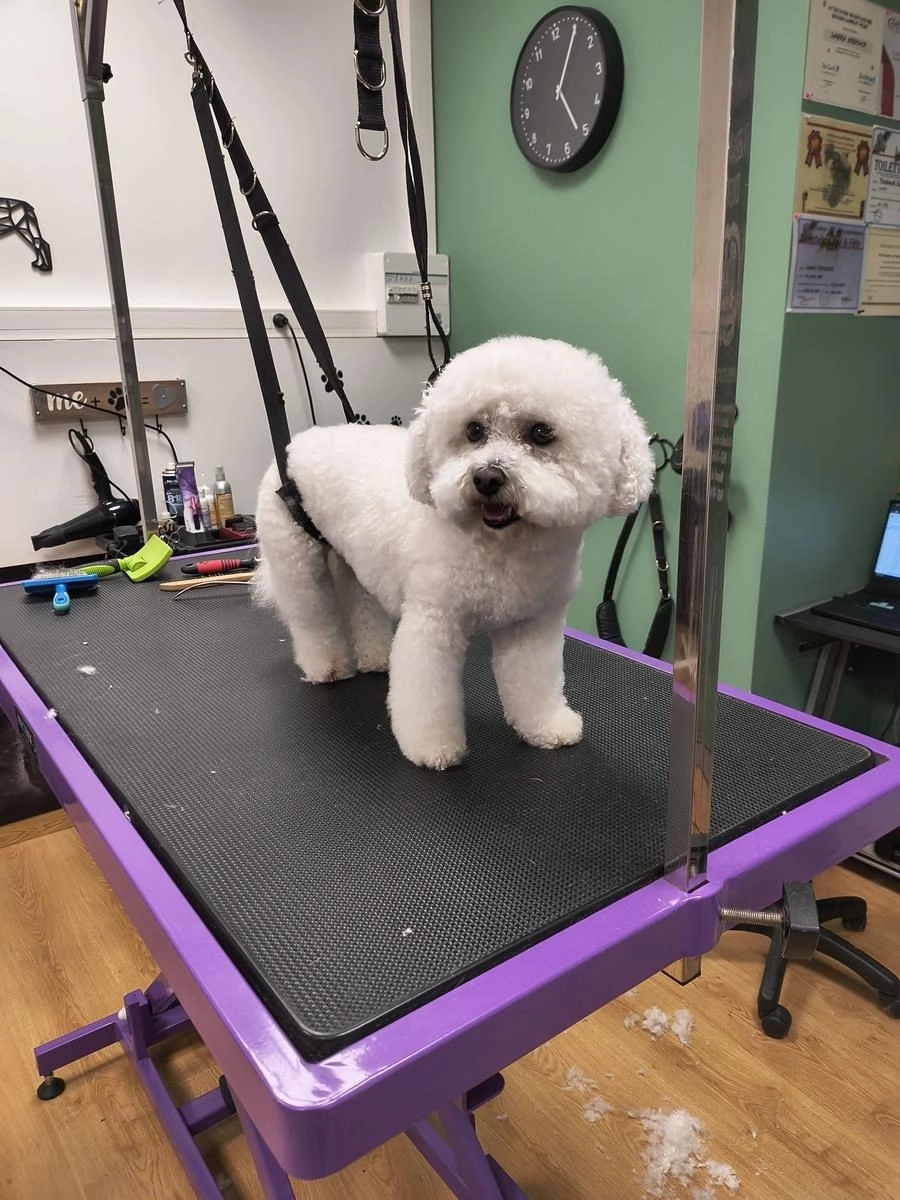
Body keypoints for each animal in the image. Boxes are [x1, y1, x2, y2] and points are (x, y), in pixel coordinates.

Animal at [254, 335, 655, 770]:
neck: (501, 549)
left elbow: (534, 683)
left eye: (541, 432)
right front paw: (432, 748)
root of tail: (294, 445)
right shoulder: (433, 622)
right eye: (474, 430)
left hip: (352, 559)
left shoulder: (532, 625)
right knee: (313, 620)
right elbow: (427, 694)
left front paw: (546, 726)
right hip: (297, 560)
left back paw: (375, 656)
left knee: (359, 604)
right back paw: (327, 665)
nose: (487, 477)